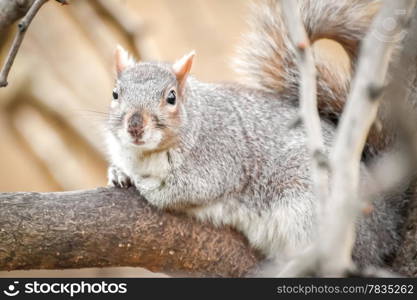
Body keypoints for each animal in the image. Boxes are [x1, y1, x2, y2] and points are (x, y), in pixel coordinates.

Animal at [105, 0, 412, 272]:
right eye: (115, 93)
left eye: (171, 97)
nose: (135, 126)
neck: (145, 154)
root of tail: (386, 226)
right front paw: (118, 173)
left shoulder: (217, 160)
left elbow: (182, 190)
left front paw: (144, 184)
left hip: (314, 207)